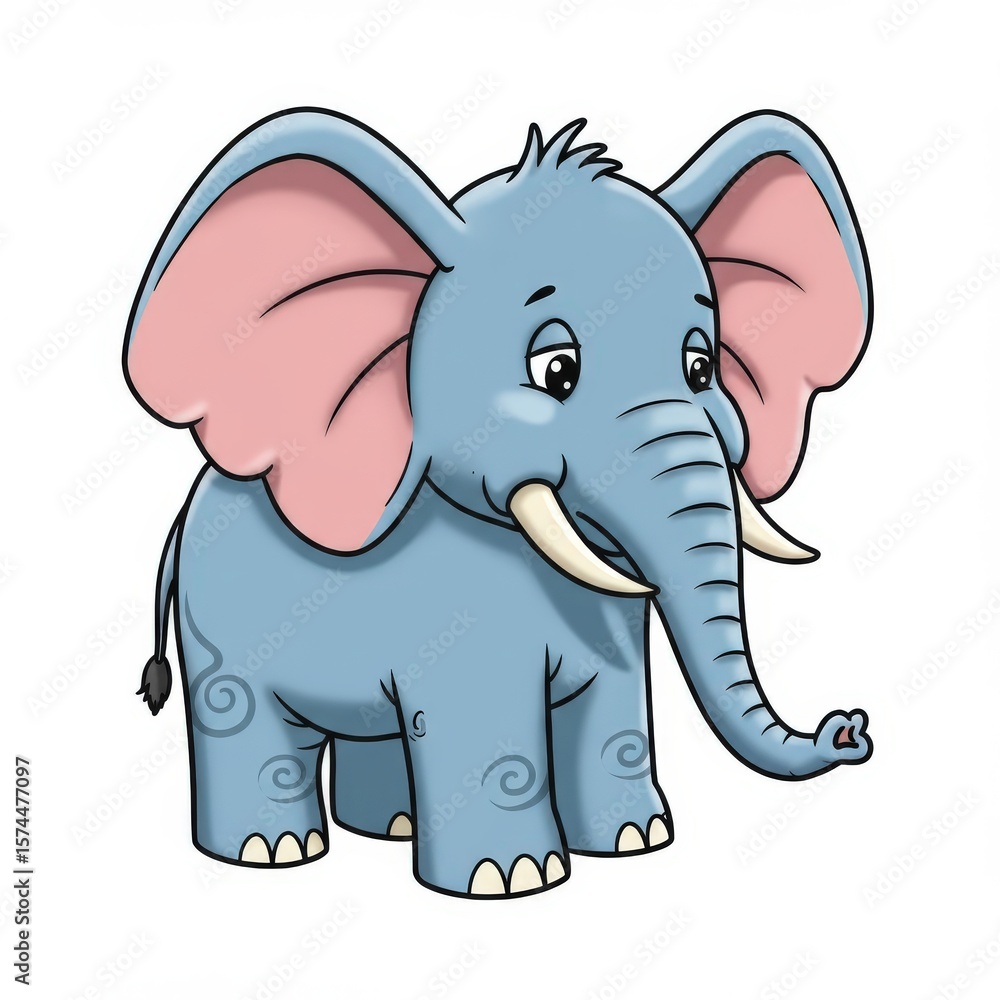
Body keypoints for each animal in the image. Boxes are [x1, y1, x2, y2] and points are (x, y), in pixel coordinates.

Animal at [125, 107, 874, 899]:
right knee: (242, 720)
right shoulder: (456, 609)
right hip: (218, 629)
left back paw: (391, 827)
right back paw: (272, 852)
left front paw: (635, 842)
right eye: (556, 370)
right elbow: (481, 715)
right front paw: (511, 879)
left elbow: (612, 703)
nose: (848, 728)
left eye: (702, 367)